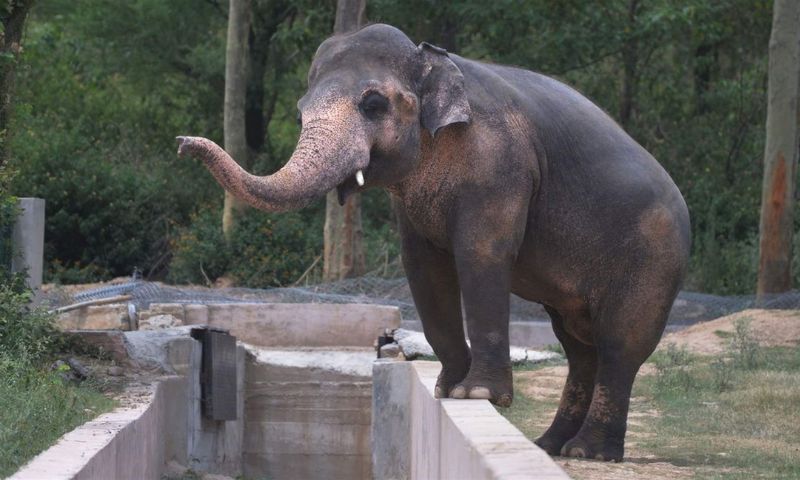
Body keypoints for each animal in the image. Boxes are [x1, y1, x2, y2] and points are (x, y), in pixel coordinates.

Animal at [177, 23, 690, 462]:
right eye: (300, 114)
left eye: (373, 104)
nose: (182, 143)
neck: (432, 61)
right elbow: (422, 265)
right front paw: (448, 390)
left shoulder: (499, 164)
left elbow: (481, 255)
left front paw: (478, 394)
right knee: (579, 346)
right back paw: (551, 446)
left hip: (654, 258)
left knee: (620, 345)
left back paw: (588, 452)